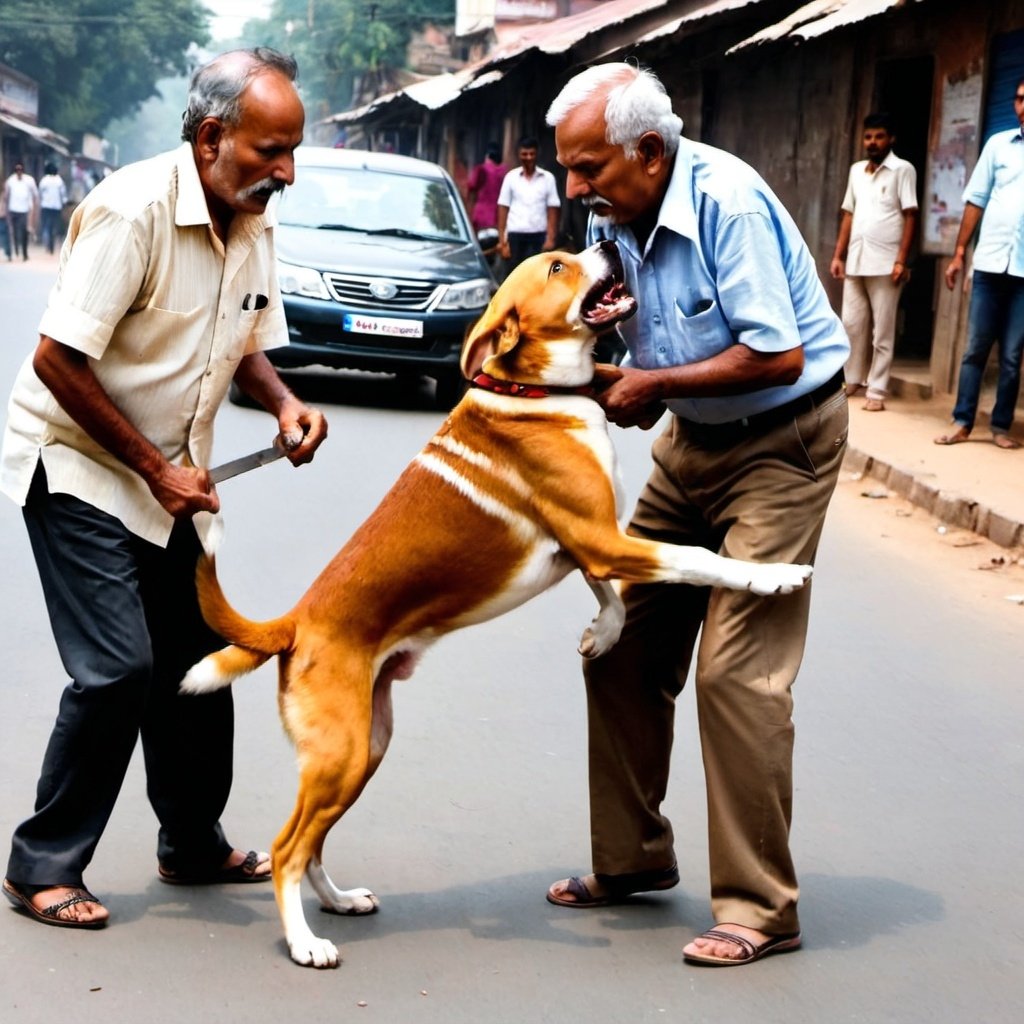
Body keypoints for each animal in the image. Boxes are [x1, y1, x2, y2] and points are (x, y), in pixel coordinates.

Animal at [180, 239, 811, 966]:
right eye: (558, 267)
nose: (605, 242)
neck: (535, 392)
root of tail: (296, 621)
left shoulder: (586, 543)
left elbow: (611, 594)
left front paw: (603, 634)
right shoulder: (602, 538)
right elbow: (701, 560)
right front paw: (775, 575)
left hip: (365, 749)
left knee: (311, 844)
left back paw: (337, 901)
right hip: (341, 755)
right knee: (286, 848)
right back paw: (307, 943)